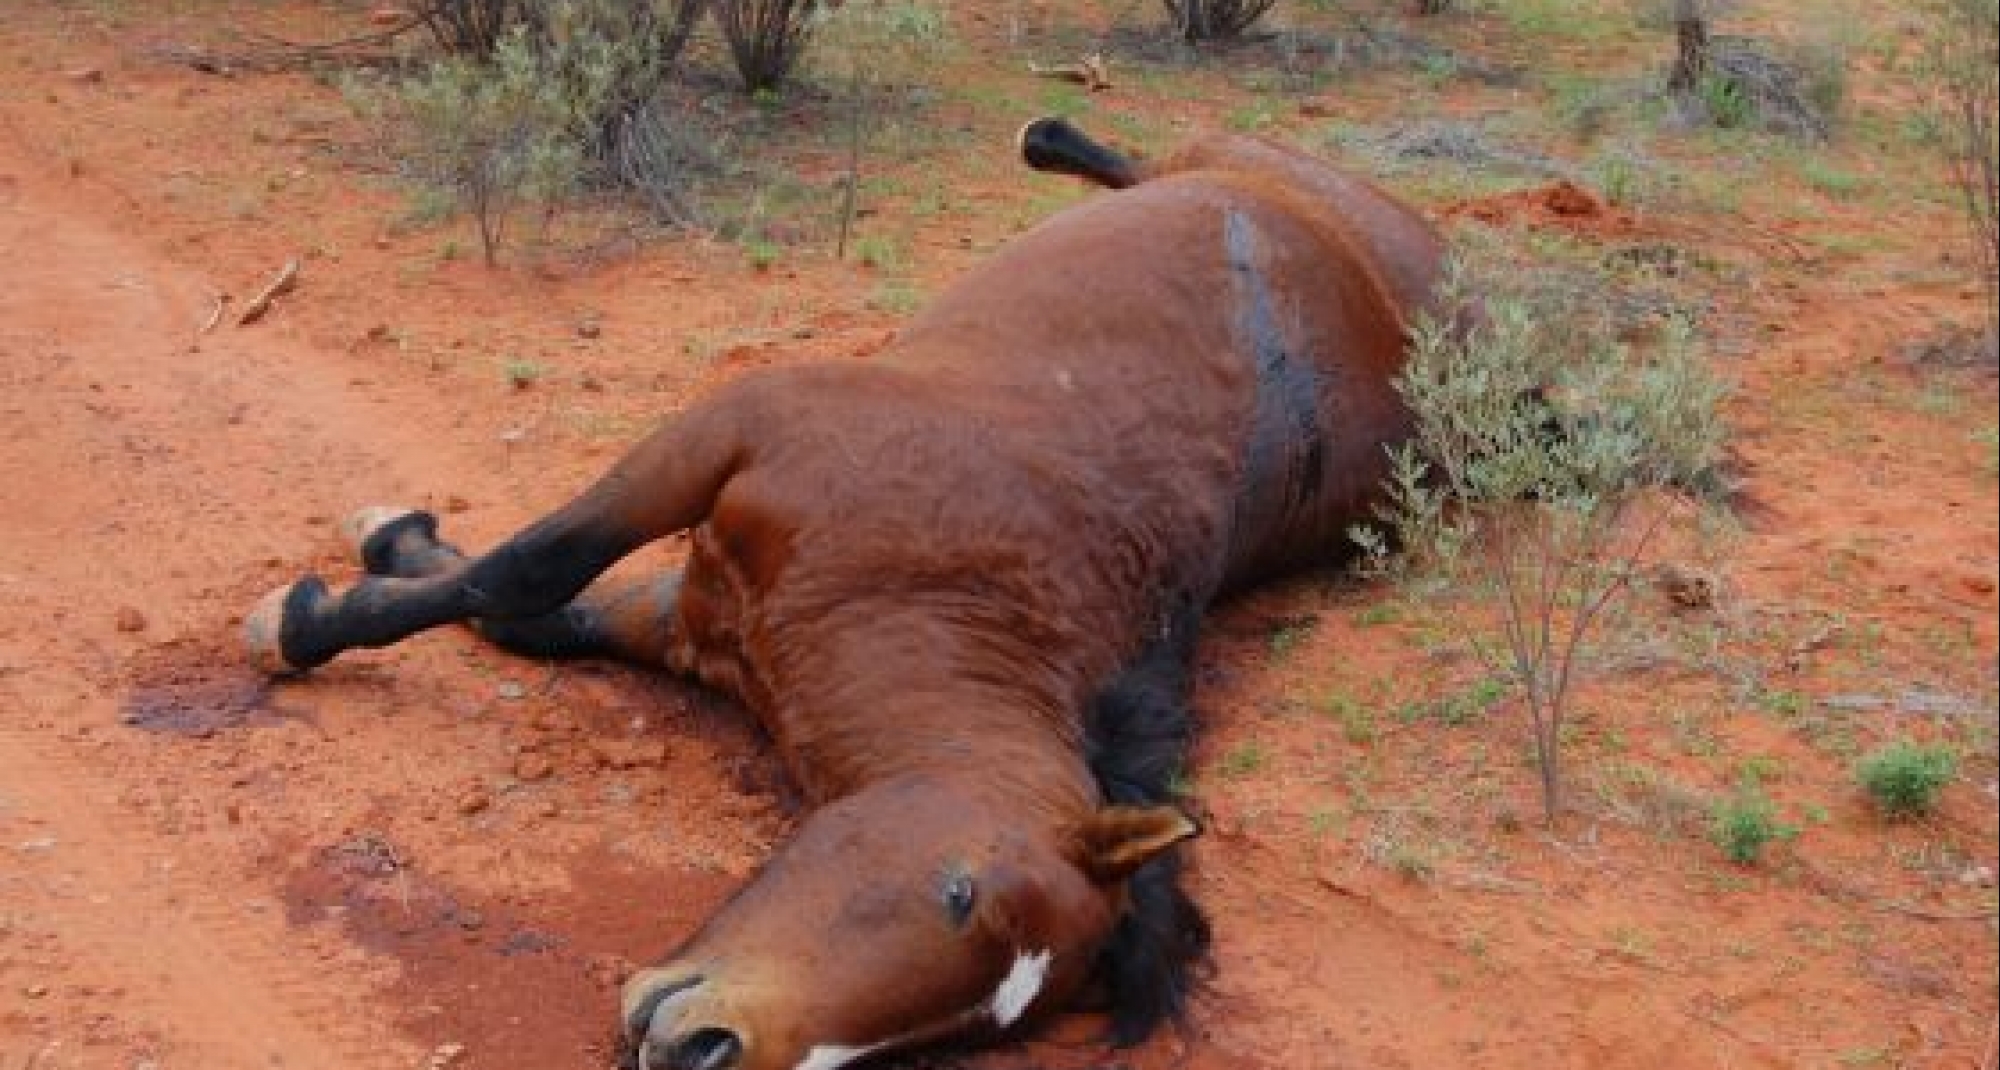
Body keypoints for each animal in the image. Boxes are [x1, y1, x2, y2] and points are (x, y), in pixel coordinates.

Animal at [242, 117, 1448, 1070]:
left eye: (969, 1032)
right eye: (957, 891)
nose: (705, 1049)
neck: (955, 579)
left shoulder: (701, 623)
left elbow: (524, 611)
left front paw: (388, 556)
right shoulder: (723, 438)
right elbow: (524, 572)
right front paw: (320, 607)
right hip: (1236, 159)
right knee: (1159, 155)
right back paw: (1052, 139)